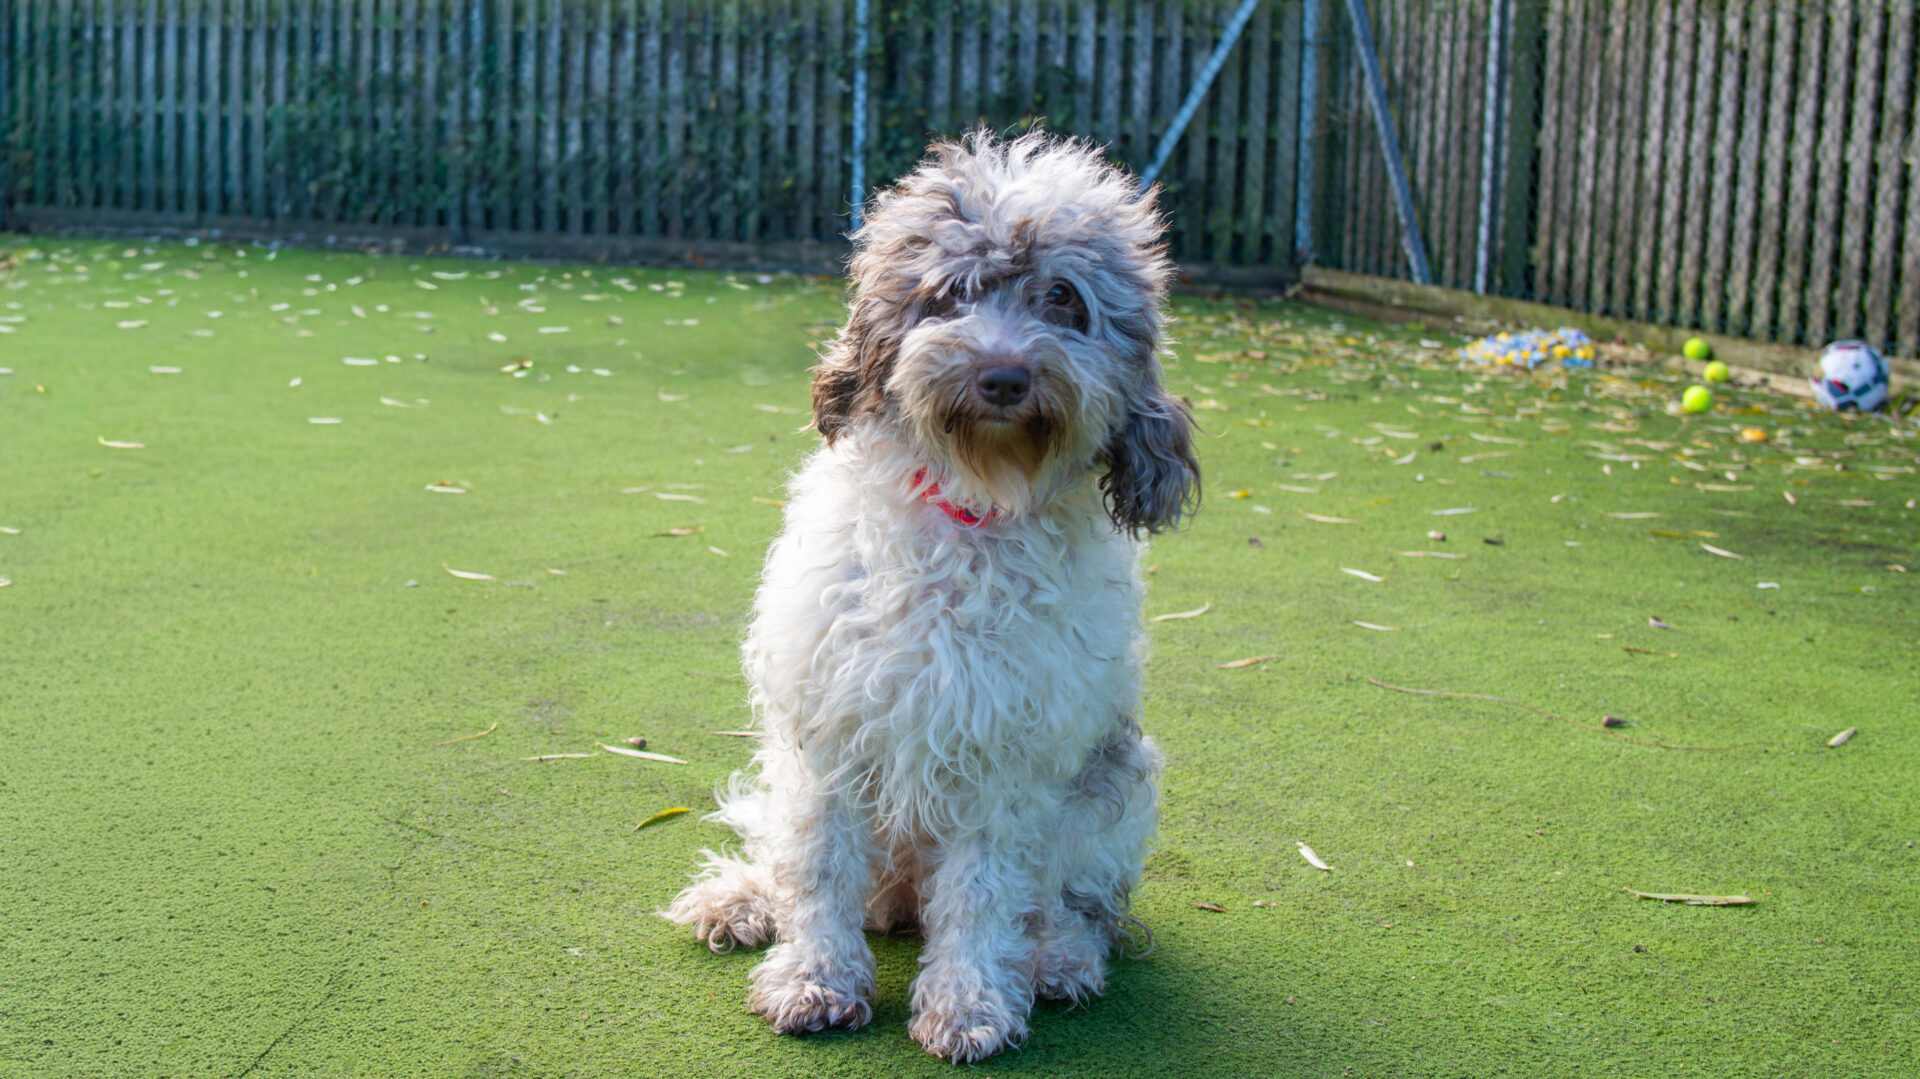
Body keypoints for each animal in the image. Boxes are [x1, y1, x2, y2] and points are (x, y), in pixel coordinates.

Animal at [663, 130, 1198, 1062]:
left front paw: (971, 1000)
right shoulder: (828, 737)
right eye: (952, 293)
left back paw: (1056, 959)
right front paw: (814, 978)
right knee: (790, 857)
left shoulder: (1010, 760)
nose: (1003, 376)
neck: (970, 508)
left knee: (1073, 905)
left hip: (1114, 792)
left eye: (1064, 298)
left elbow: (985, 894)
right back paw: (741, 899)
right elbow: (816, 870)